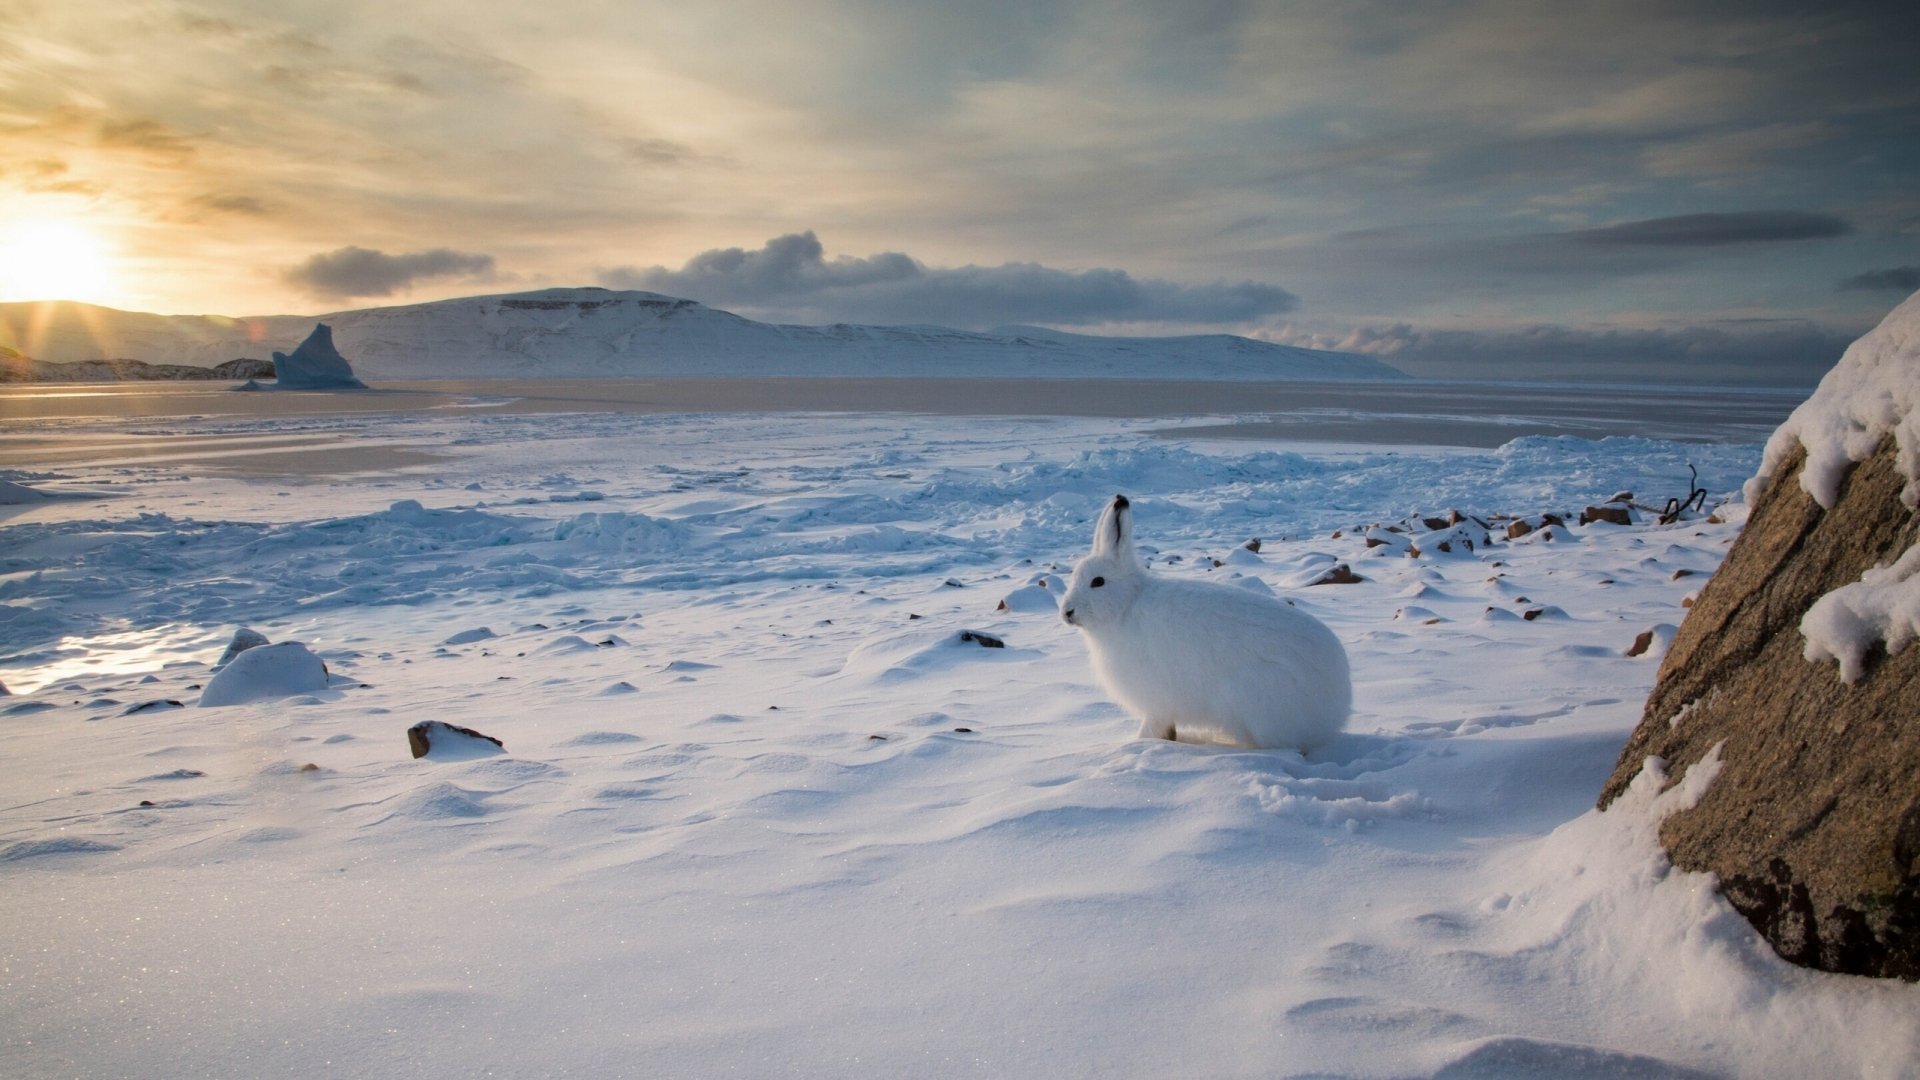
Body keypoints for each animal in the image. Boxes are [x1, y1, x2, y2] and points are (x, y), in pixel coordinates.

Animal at [1061, 494, 1351, 750]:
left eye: (1098, 582)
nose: (1066, 612)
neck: (1126, 604)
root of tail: (1337, 704)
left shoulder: (1156, 699)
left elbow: (1155, 724)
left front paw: (1140, 741)